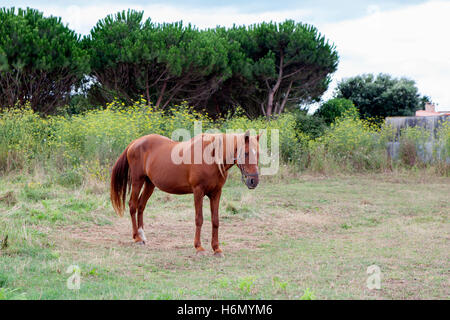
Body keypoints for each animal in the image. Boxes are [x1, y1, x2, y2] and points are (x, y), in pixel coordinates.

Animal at [108, 129, 260, 256]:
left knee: (141, 206)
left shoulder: (216, 193)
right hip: (137, 181)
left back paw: (142, 235)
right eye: (245, 153)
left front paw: (216, 248)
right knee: (133, 205)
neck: (210, 156)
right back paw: (137, 238)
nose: (254, 181)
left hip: (149, 184)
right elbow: (199, 219)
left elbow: (215, 220)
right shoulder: (198, 191)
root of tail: (134, 143)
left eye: (258, 154)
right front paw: (199, 247)